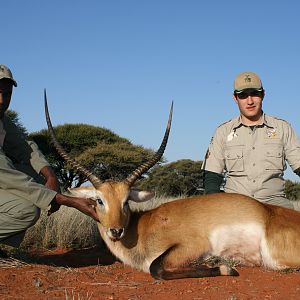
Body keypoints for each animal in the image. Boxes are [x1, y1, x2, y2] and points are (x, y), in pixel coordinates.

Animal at [43, 92, 300, 282]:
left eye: (126, 201)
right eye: (99, 200)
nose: (115, 231)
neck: (143, 227)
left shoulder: (192, 246)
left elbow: (155, 268)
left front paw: (225, 267)